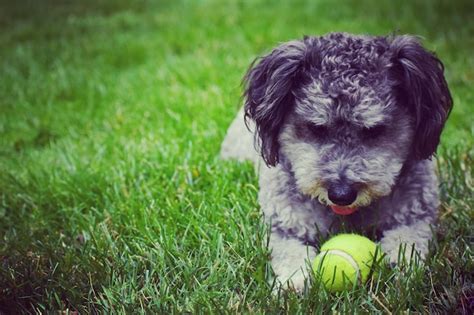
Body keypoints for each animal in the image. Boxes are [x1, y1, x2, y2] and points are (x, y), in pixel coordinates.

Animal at [220, 33, 454, 292]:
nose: (341, 194)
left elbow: (407, 241)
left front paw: (401, 269)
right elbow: (289, 251)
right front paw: (293, 282)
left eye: (375, 130)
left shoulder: (415, 215)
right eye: (316, 127)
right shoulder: (284, 225)